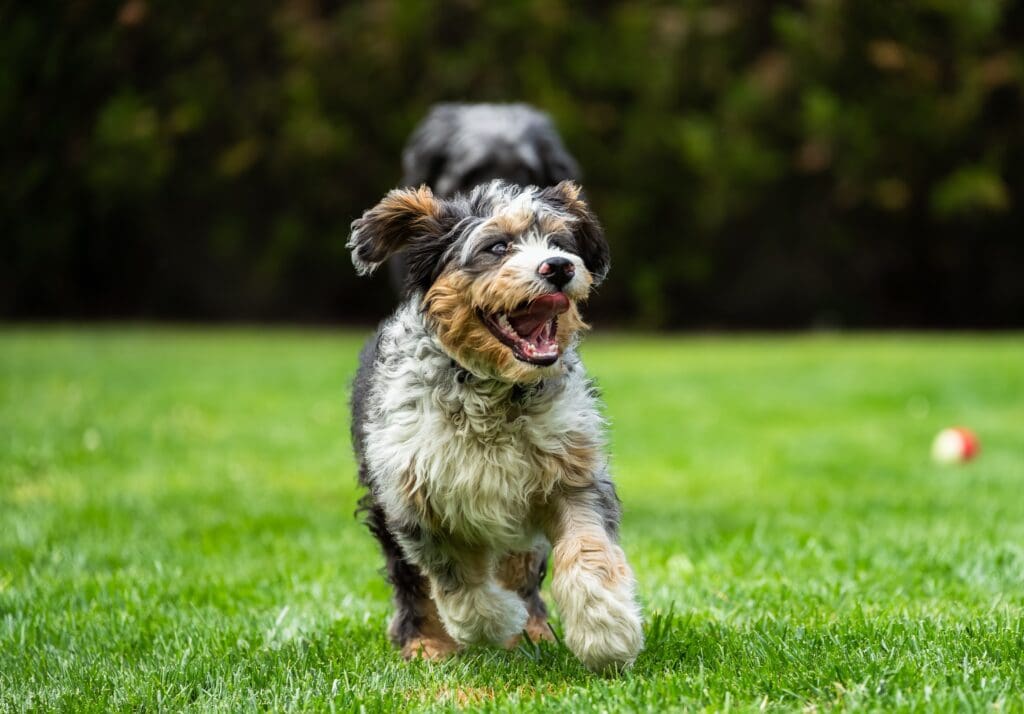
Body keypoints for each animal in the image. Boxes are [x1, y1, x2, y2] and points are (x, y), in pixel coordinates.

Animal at [348, 181, 643, 672]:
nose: (560, 267)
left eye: (559, 242)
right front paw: (493, 621)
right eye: (497, 247)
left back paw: (536, 630)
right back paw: (427, 643)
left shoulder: (572, 472)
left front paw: (606, 630)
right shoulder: (413, 497)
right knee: (413, 582)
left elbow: (587, 549)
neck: (494, 391)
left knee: (519, 566)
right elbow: (457, 581)